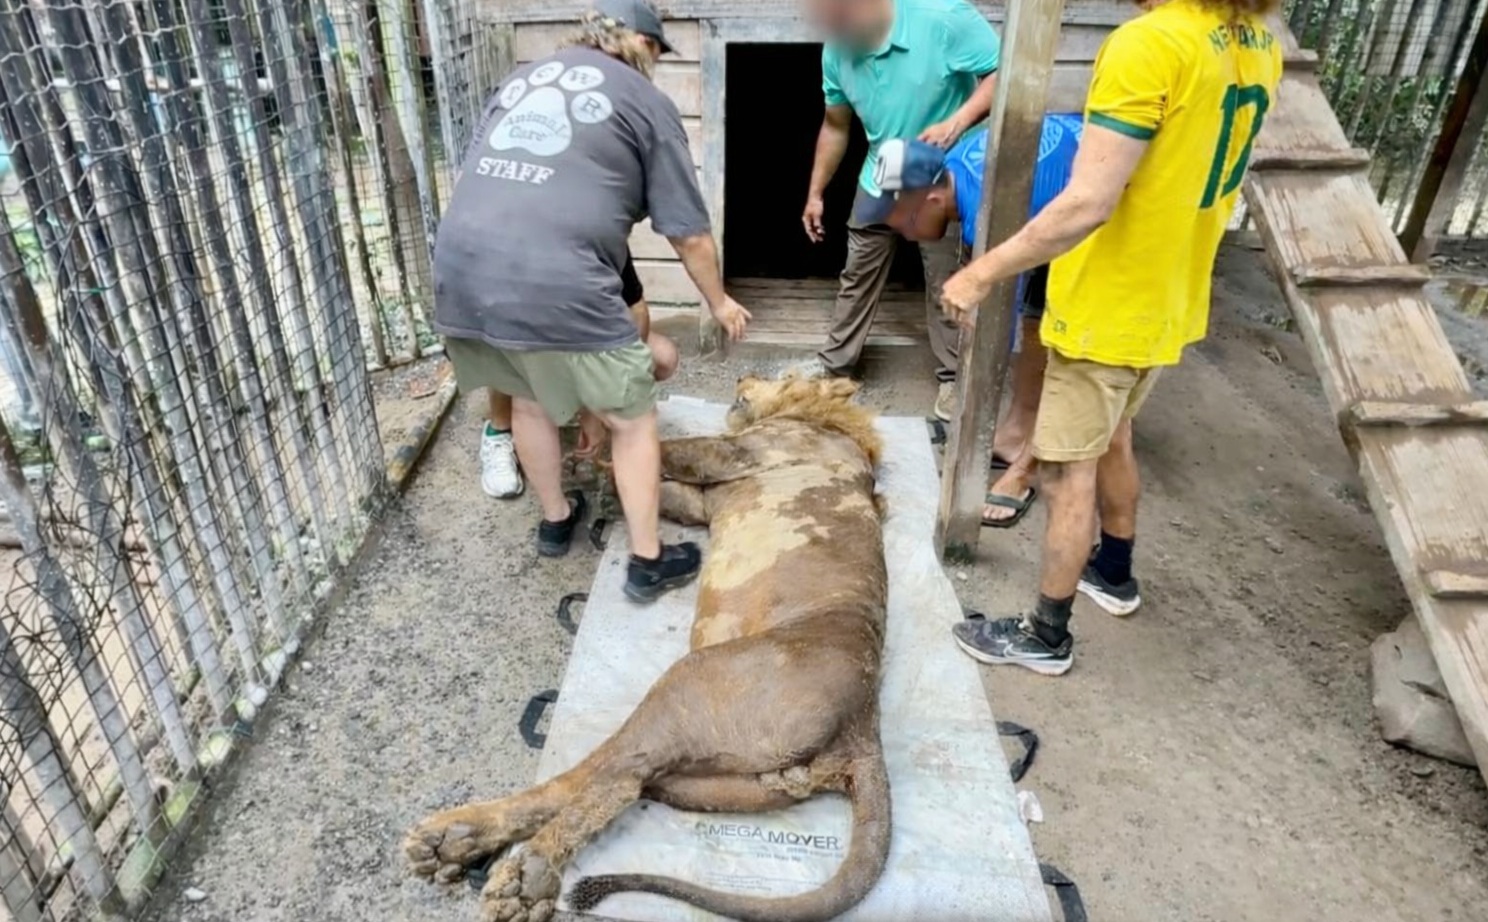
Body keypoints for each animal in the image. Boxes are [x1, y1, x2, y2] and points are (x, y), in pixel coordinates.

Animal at [404, 374, 892, 922]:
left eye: (777, 374)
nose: (743, 378)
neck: (822, 420)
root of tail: (862, 729)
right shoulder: (705, 501)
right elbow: (663, 488)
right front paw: (598, 481)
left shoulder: (739, 453)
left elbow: (669, 450)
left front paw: (589, 466)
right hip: (733, 782)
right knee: (624, 782)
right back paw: (455, 847)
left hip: (684, 688)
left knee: (604, 779)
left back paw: (508, 867)